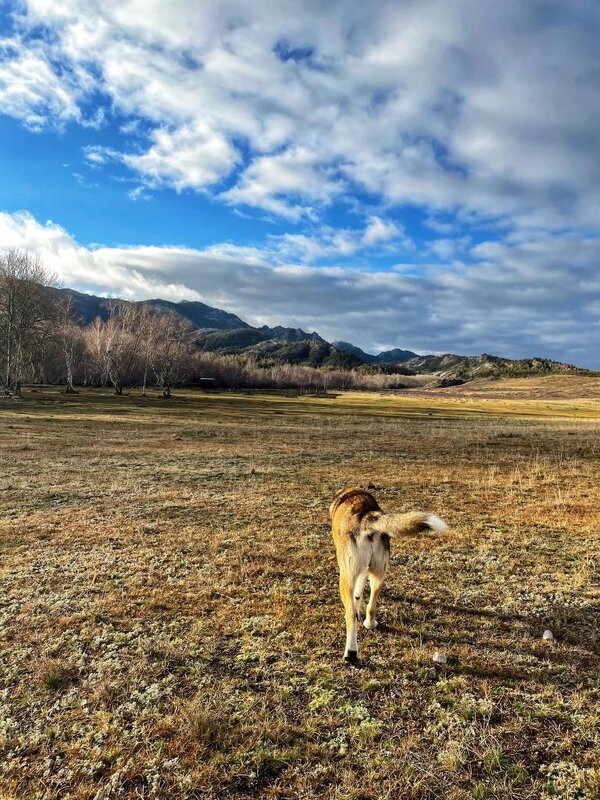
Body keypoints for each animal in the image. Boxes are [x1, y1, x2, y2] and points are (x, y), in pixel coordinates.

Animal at [330, 488, 448, 664]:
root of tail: (366, 516)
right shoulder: (364, 571)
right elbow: (358, 594)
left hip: (346, 579)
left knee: (350, 615)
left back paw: (350, 653)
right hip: (379, 573)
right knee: (372, 604)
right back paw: (370, 624)